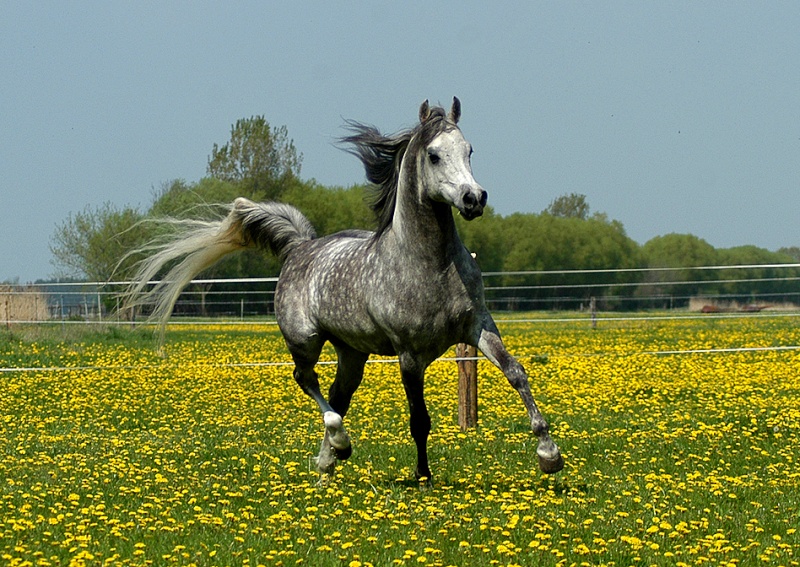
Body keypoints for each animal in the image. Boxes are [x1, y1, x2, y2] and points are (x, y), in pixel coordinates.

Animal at [125, 96, 564, 480]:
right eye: (435, 155)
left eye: (470, 150)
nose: (474, 198)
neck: (430, 264)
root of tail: (299, 247)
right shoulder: (409, 353)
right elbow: (419, 419)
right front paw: (423, 476)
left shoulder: (478, 327)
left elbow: (516, 373)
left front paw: (549, 454)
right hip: (304, 340)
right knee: (310, 384)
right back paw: (339, 443)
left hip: (352, 353)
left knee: (338, 394)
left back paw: (327, 464)